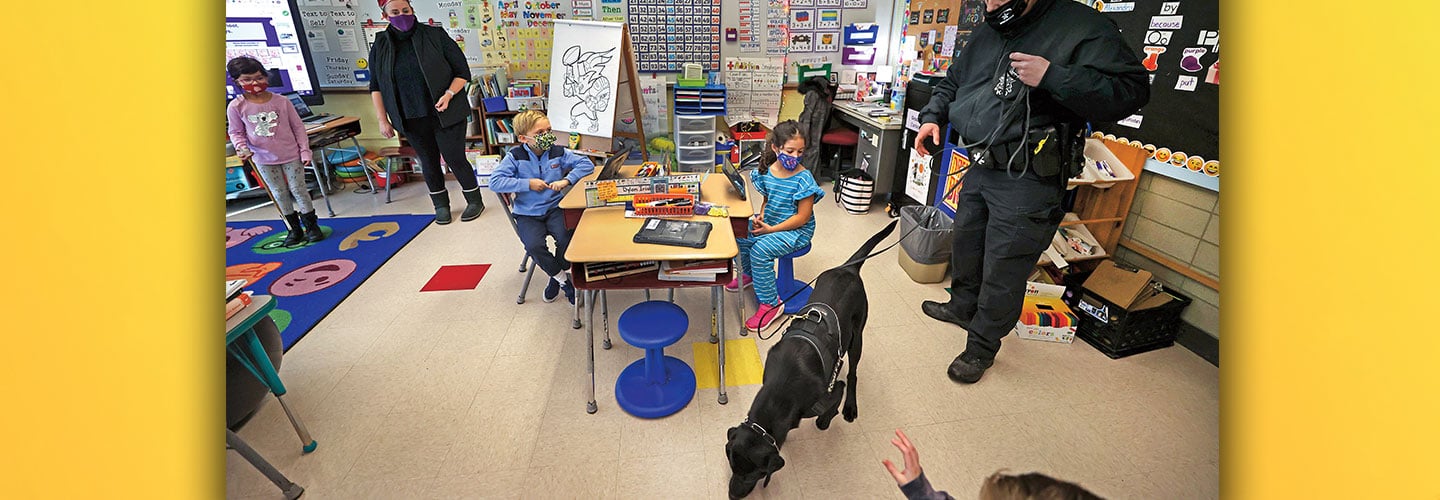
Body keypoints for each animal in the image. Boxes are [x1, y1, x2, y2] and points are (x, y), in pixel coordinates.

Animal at [725, 221, 892, 498]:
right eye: (732, 465)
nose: (732, 494)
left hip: (857, 336)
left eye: (754, 474)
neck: (779, 392)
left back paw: (850, 406)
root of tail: (848, 268)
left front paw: (826, 420)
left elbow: (836, 395)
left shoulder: (824, 395)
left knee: (852, 374)